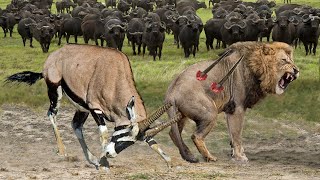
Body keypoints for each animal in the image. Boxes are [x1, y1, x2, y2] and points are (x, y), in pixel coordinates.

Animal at [5, 44, 180, 171]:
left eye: (133, 141)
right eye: (123, 133)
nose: (110, 154)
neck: (115, 75)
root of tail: (54, 55)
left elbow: (151, 140)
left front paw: (169, 162)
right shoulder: (96, 109)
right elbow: (103, 133)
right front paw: (104, 164)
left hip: (82, 109)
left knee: (76, 125)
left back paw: (92, 159)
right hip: (56, 91)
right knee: (51, 114)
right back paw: (63, 151)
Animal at [165, 41, 300, 163]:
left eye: (291, 60)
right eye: (284, 60)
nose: (297, 70)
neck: (256, 67)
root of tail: (171, 92)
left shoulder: (230, 110)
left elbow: (231, 134)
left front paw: (235, 154)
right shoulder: (238, 108)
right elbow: (237, 135)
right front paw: (240, 157)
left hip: (181, 115)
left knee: (173, 133)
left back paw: (188, 155)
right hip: (210, 113)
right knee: (196, 136)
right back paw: (209, 157)